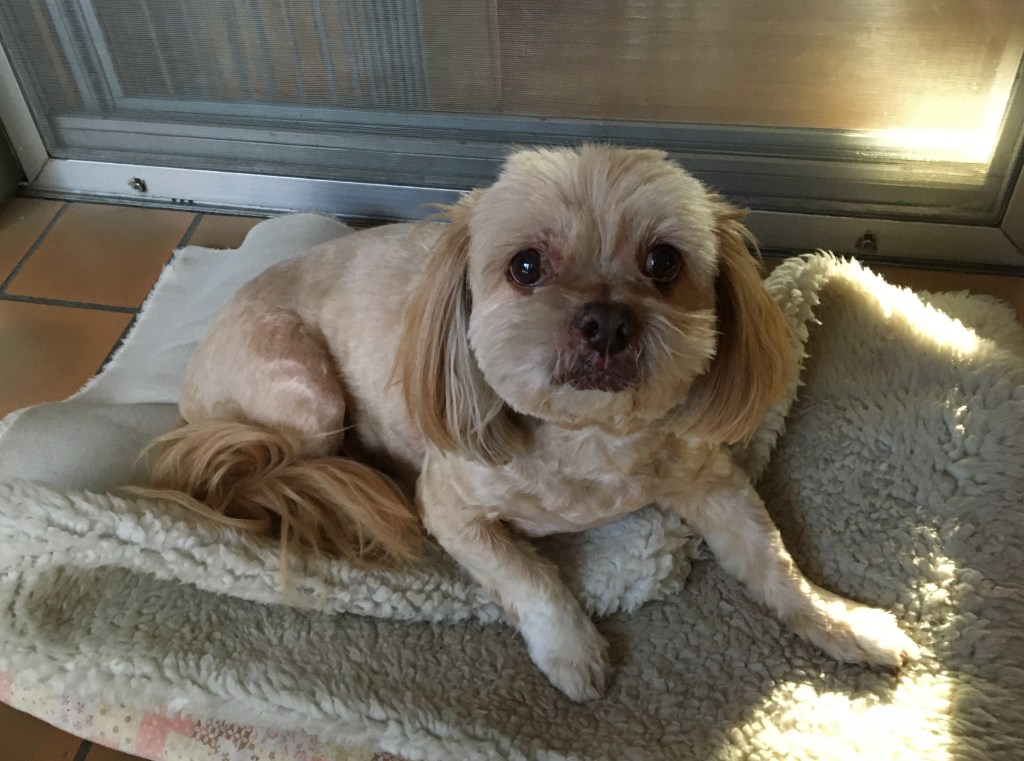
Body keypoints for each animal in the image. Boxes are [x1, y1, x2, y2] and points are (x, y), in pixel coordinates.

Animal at [141, 145, 918, 701]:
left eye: (663, 261)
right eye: (525, 266)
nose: (605, 320)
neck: (587, 438)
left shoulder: (710, 480)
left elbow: (773, 560)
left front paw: (842, 621)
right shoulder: (449, 508)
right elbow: (530, 577)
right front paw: (574, 651)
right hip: (307, 393)